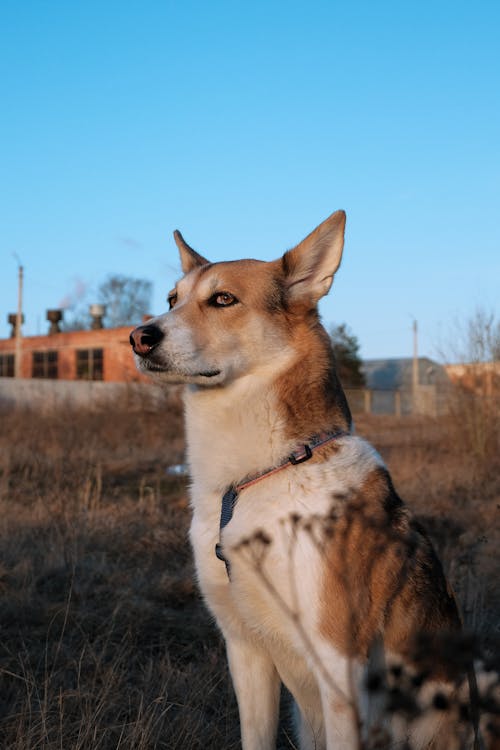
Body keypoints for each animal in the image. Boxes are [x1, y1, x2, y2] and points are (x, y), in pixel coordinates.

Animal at [130, 209, 468, 748]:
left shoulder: (338, 662)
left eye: (223, 299)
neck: (262, 476)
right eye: (171, 300)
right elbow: (254, 735)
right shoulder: (243, 648)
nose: (139, 336)